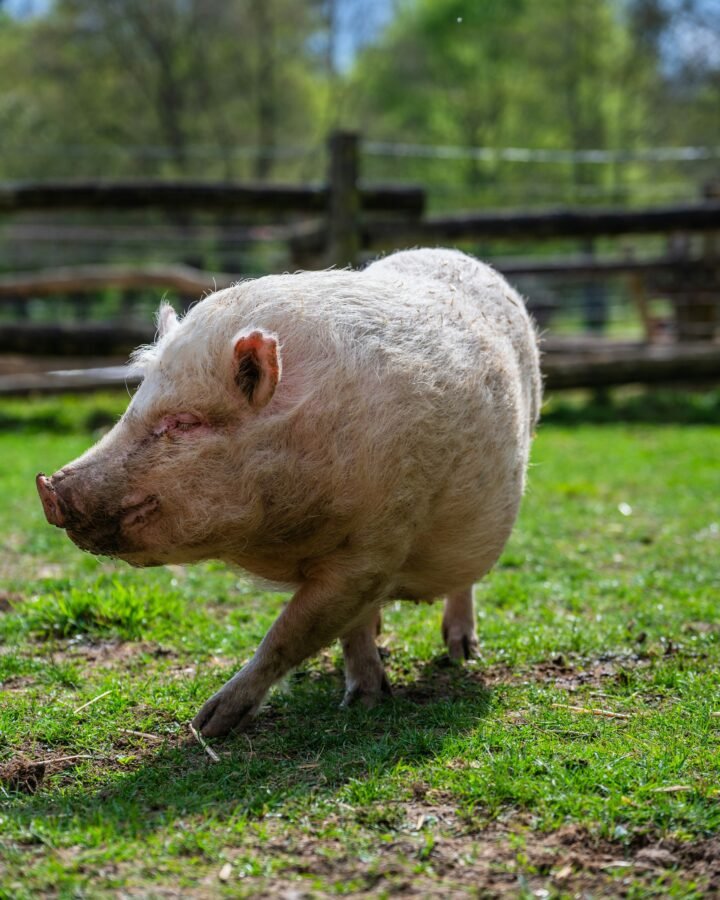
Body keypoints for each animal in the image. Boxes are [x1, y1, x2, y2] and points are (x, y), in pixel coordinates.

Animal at [36, 248, 541, 737]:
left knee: (464, 582)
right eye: (132, 408)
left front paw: (208, 725)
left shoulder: (377, 544)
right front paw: (363, 696)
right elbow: (348, 628)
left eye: (184, 422)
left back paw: (463, 653)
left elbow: (290, 633)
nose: (49, 487)